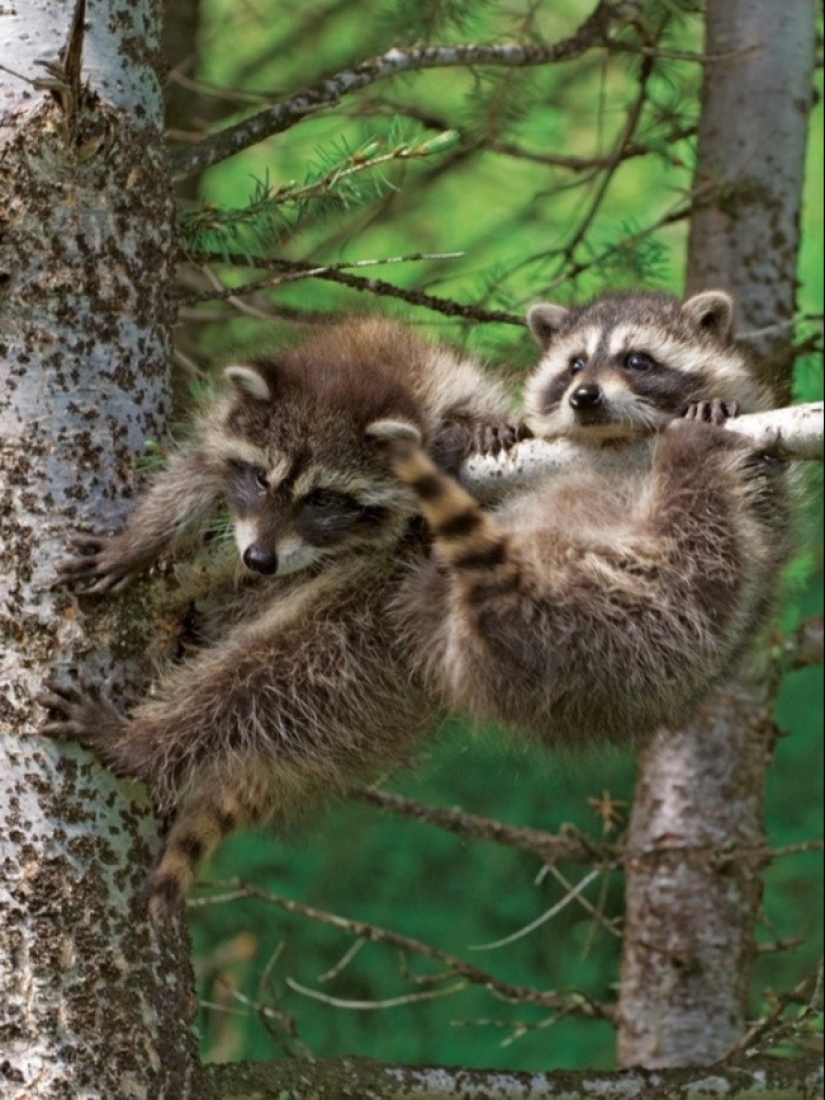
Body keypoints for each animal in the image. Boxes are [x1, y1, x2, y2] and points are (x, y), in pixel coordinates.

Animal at [42, 316, 517, 919]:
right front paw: (138, 542)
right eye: (262, 479)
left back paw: (143, 745)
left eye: (323, 499)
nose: (260, 560)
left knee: (273, 675)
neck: (359, 370)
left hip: (380, 642)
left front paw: (476, 428)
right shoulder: (234, 426)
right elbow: (193, 471)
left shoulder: (440, 380)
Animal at [376, 288, 796, 743]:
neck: (615, 440)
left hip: (654, 618)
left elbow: (761, 497)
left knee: (699, 532)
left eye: (637, 360)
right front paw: (500, 428)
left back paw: (689, 456)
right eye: (575, 364)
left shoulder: (766, 493)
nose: (584, 396)